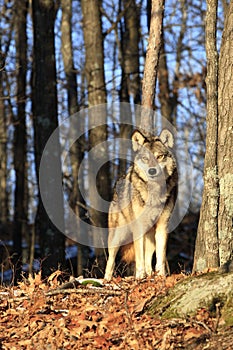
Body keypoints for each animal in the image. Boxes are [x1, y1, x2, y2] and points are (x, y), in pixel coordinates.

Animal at [104, 130, 177, 280]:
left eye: (159, 157)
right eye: (145, 158)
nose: (152, 171)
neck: (154, 192)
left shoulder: (163, 226)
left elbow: (160, 256)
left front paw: (161, 276)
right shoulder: (138, 227)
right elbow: (139, 256)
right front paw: (139, 276)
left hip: (151, 235)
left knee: (148, 257)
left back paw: (150, 275)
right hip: (118, 235)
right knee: (111, 260)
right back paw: (106, 280)